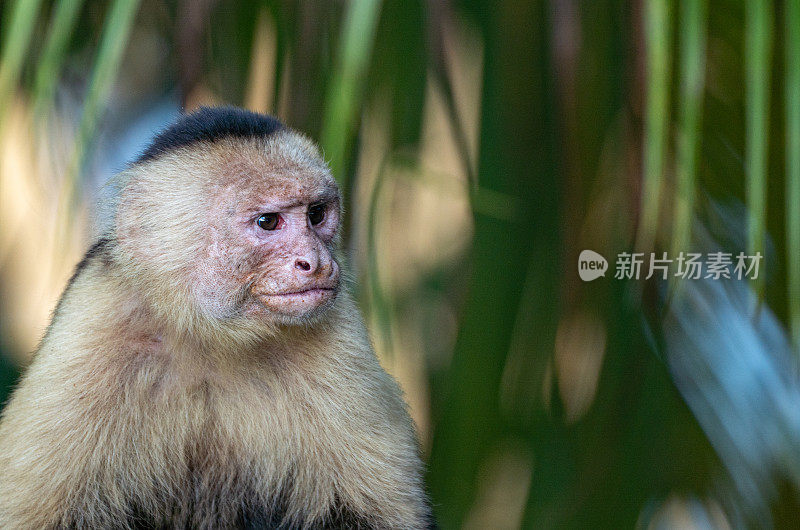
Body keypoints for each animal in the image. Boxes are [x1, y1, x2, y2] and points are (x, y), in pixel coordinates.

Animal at [0, 107, 434, 528]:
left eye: (316, 214)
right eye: (268, 222)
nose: (317, 262)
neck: (212, 339)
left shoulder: (339, 334)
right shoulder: (92, 321)